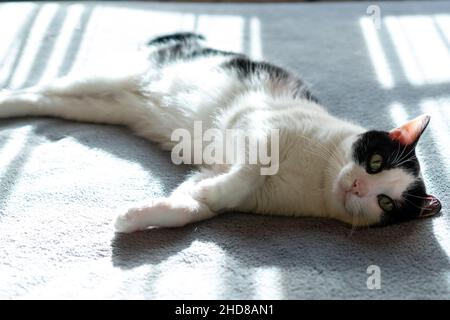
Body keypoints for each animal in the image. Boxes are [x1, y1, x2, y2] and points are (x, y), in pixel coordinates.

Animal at [0, 33, 442, 232]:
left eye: (385, 202)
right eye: (375, 161)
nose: (357, 187)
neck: (315, 180)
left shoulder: (220, 174)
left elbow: (192, 207)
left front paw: (136, 218)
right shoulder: (259, 129)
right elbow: (250, 171)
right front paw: (215, 191)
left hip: (98, 105)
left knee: (40, 99)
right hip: (103, 78)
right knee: (36, 88)